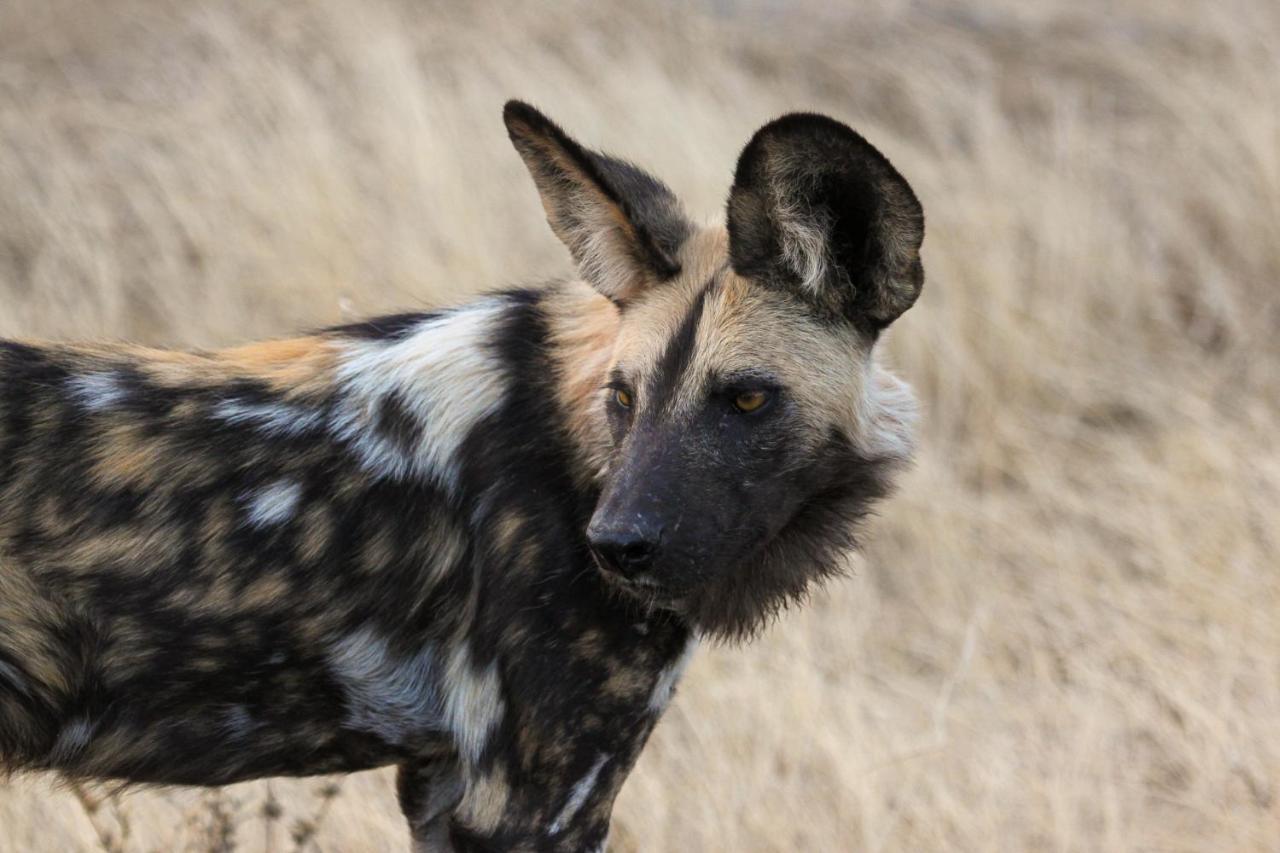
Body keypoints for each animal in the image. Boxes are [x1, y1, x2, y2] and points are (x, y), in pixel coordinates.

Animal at [0, 103, 921, 845]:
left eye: (747, 398)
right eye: (625, 398)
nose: (614, 546)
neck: (576, 443)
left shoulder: (445, 786)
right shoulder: (529, 801)